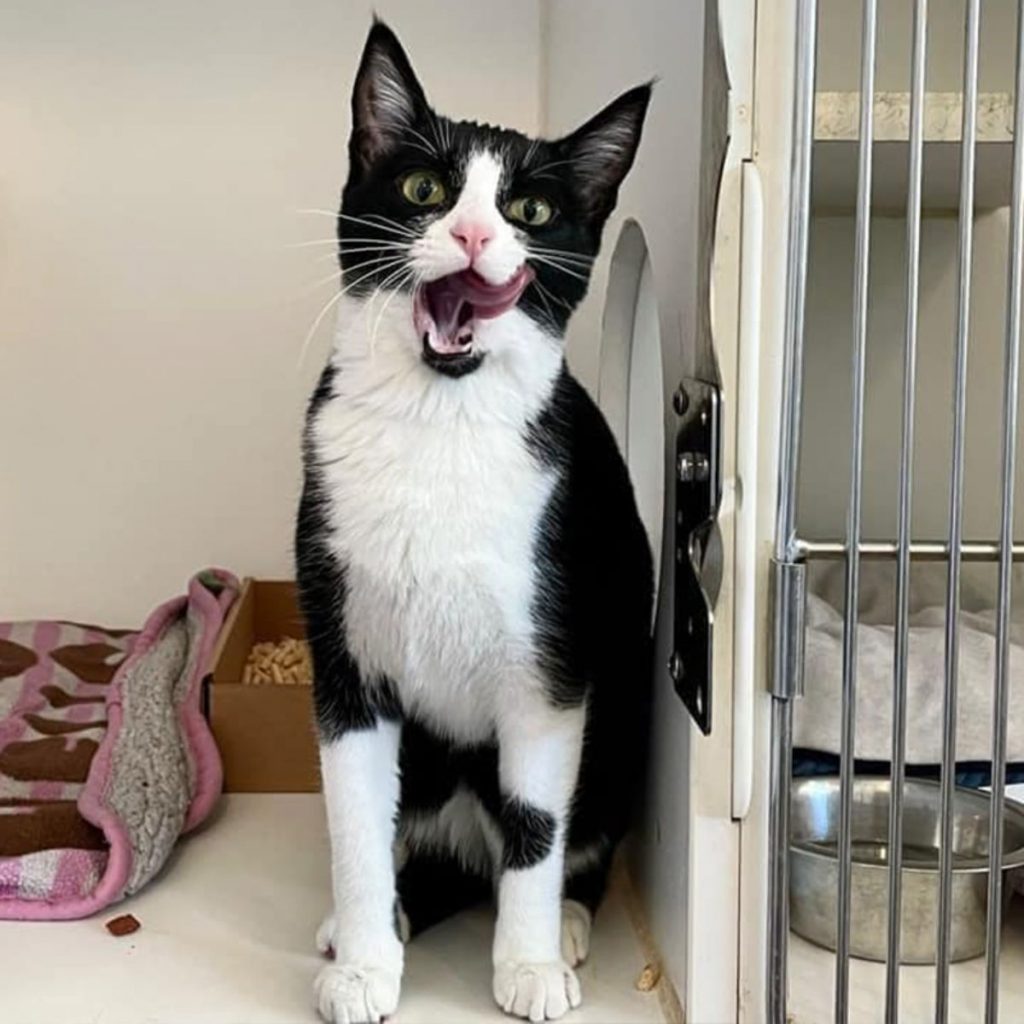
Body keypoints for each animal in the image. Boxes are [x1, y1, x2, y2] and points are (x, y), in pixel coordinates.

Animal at [292, 18, 651, 1024]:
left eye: (530, 209)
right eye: (425, 189)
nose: (475, 230)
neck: (438, 427)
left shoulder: (553, 664)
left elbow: (538, 821)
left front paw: (527, 963)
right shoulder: (344, 658)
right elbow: (354, 822)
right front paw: (366, 963)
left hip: (620, 727)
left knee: (569, 833)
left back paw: (566, 921)